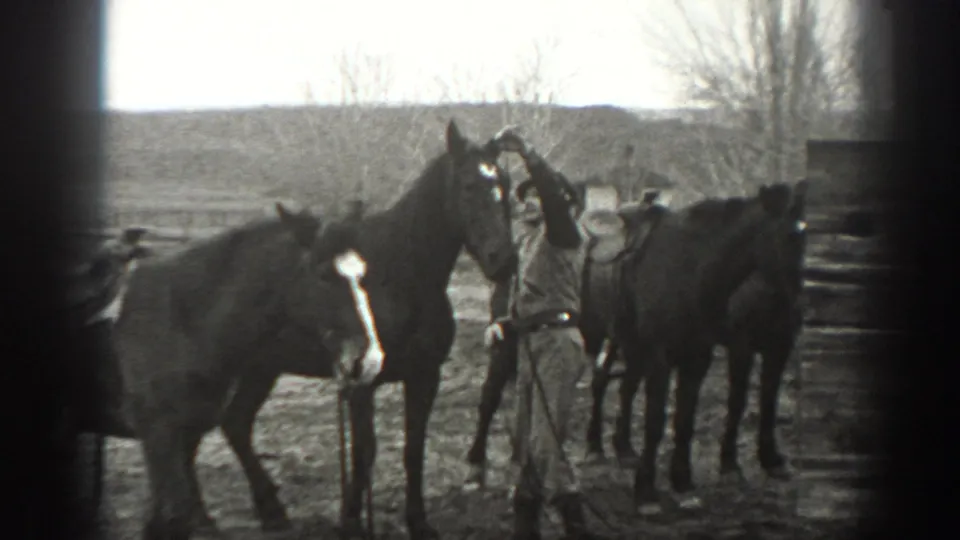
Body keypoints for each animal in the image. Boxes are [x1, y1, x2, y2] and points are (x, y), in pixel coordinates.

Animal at [79, 204, 385, 540]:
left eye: (362, 274)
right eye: (323, 275)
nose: (369, 360)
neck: (181, 321)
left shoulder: (188, 432)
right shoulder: (157, 434)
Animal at [203, 120, 517, 540]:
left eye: (506, 184)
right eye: (468, 185)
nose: (504, 261)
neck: (397, 275)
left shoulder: (424, 376)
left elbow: (413, 449)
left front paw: (418, 522)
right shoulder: (361, 383)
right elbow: (363, 452)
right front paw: (351, 521)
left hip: (262, 368)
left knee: (236, 423)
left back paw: (272, 512)